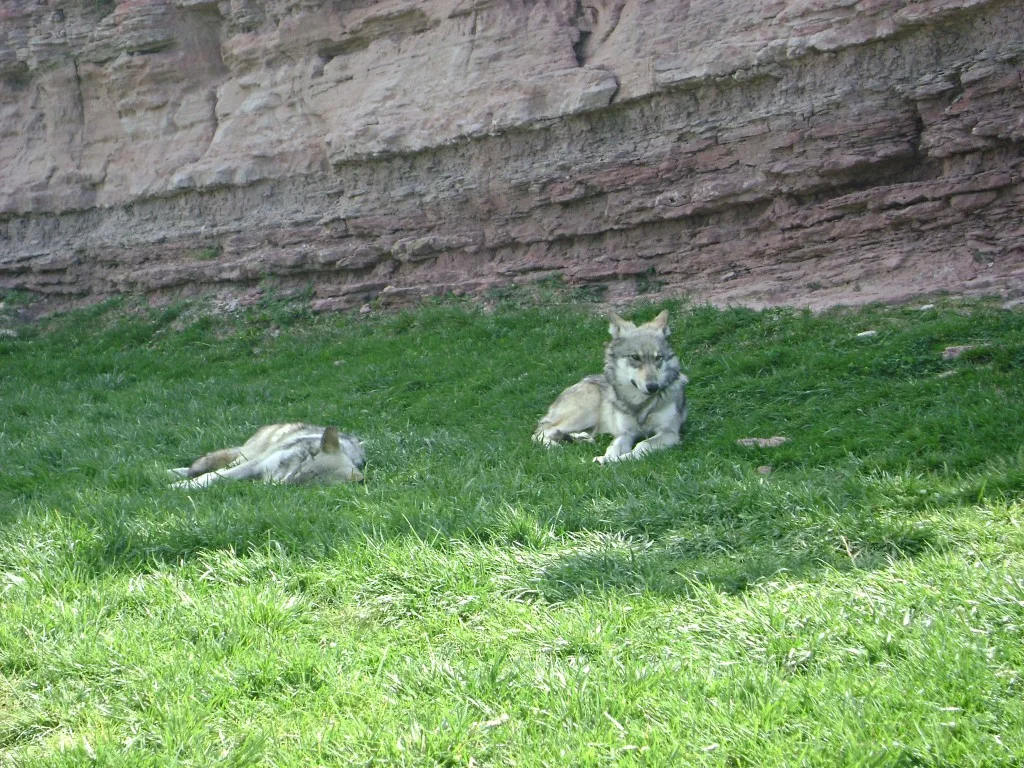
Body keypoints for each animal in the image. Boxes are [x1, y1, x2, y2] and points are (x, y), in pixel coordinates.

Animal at [164, 423, 364, 489]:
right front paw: (179, 486)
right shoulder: (255, 464)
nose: (283, 485)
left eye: (312, 483)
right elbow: (212, 476)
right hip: (247, 456)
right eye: (300, 470)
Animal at [536, 311, 688, 466]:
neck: (639, 403)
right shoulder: (625, 433)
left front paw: (620, 458)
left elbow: (642, 444)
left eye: (658, 358)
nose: (653, 387)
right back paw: (555, 445)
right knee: (540, 432)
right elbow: (613, 447)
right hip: (585, 412)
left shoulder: (669, 433)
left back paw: (580, 438)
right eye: (635, 357)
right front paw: (607, 458)